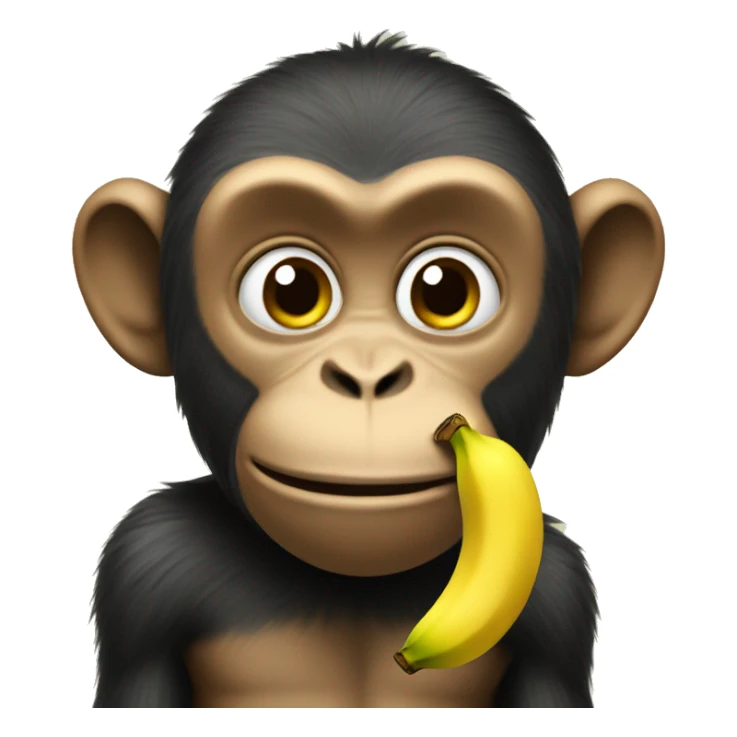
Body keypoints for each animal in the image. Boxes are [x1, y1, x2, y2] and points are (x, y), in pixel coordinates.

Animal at [72, 32, 664, 707]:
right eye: (291, 290)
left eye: (445, 291)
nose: (368, 376)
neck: (354, 590)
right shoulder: (147, 564)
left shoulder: (557, 597)